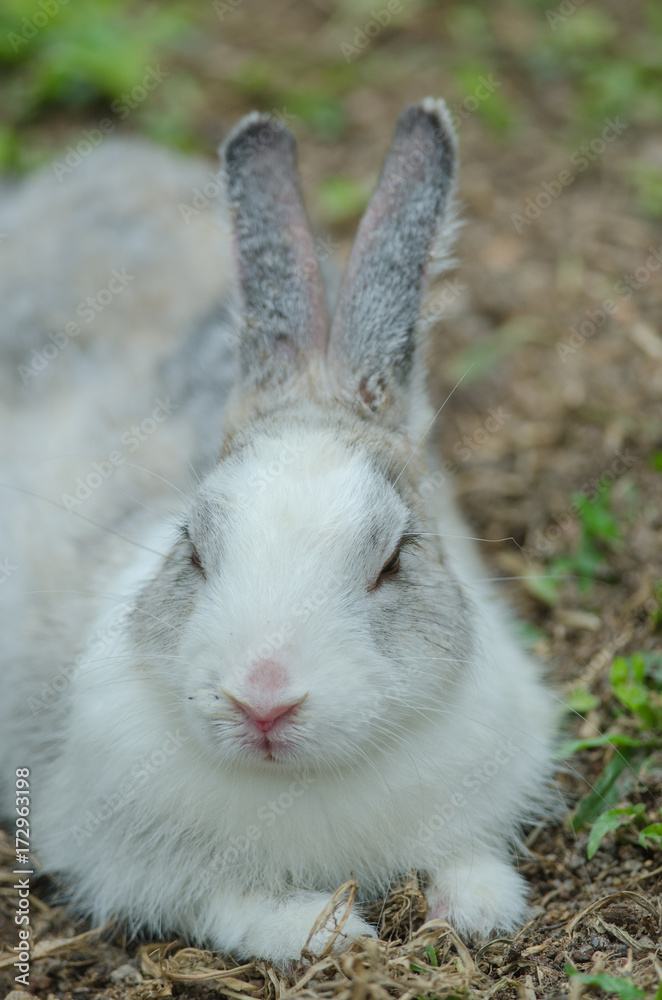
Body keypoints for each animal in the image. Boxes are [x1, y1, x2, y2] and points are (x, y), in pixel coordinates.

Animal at [0, 98, 557, 968]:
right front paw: (324, 929)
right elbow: (226, 905)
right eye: (193, 548)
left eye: (393, 561)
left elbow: (470, 858)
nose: (262, 703)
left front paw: (473, 907)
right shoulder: (131, 861)